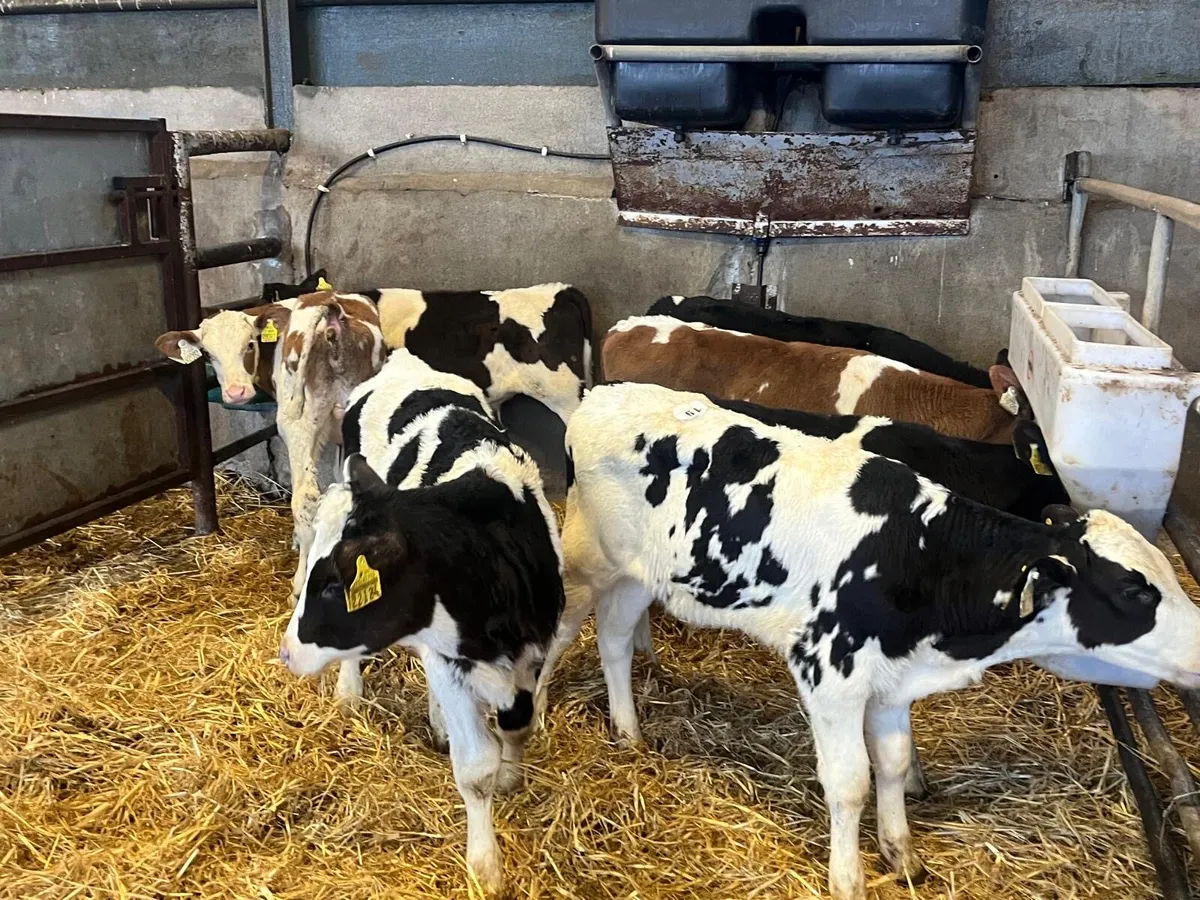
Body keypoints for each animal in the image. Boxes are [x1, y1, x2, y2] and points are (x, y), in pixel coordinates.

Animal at [279, 348, 566, 895]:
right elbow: (474, 768)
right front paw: (485, 866)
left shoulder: (534, 648)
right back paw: (351, 691)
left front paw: (510, 777)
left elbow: (517, 724)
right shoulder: (450, 660)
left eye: (334, 586)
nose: (286, 652)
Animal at [555, 381, 1200, 900]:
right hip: (597, 563)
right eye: (1135, 590)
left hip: (640, 576)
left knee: (617, 638)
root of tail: (604, 392)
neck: (923, 553)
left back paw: (634, 709)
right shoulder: (828, 671)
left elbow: (889, 765)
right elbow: (850, 784)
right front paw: (848, 879)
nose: (1199, 648)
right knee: (585, 632)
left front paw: (901, 852)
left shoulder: (892, 681)